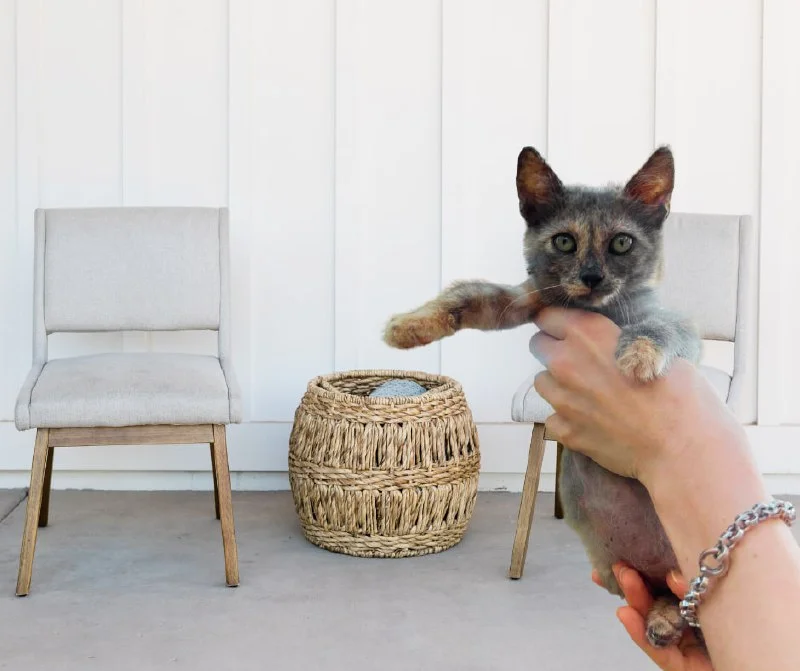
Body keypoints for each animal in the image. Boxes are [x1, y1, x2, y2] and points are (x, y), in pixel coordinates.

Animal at [382, 145, 702, 649]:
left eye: (622, 243)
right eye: (565, 242)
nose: (591, 276)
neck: (594, 310)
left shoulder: (679, 329)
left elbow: (659, 327)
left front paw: (637, 356)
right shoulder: (521, 300)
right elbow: (466, 293)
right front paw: (408, 326)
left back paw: (668, 621)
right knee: (663, 594)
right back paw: (664, 618)